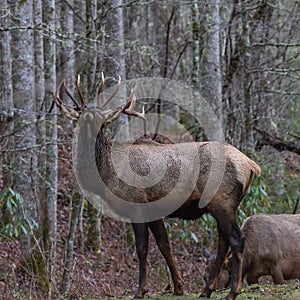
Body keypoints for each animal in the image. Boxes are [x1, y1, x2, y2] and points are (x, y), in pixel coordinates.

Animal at [52, 75, 262, 300]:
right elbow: (164, 245)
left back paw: (233, 291)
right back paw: (207, 289)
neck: (107, 174)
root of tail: (251, 166)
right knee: (223, 241)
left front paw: (141, 290)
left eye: (102, 118)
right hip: (222, 205)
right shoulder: (154, 210)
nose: (91, 118)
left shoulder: (136, 204)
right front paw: (178, 286)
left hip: (222, 202)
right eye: (82, 114)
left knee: (236, 239)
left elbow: (142, 248)